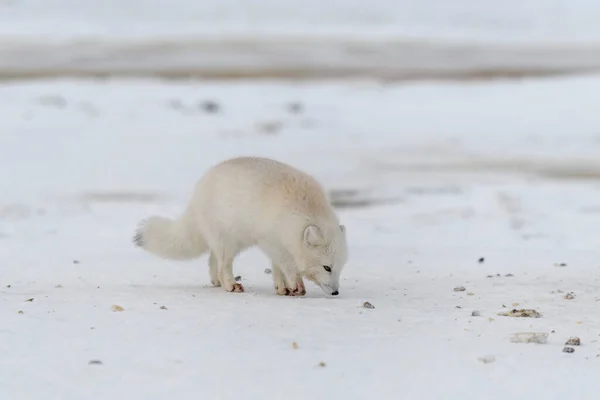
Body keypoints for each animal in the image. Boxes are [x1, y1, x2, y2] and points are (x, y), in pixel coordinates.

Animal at [131, 156, 346, 296]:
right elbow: (287, 266)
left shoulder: (276, 244)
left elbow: (277, 268)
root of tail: (199, 188)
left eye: (340, 266)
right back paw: (230, 285)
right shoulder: (271, 241)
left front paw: (282, 288)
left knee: (212, 259)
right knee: (223, 265)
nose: (336, 292)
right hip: (228, 241)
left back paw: (217, 282)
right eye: (327, 267)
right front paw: (295, 285)